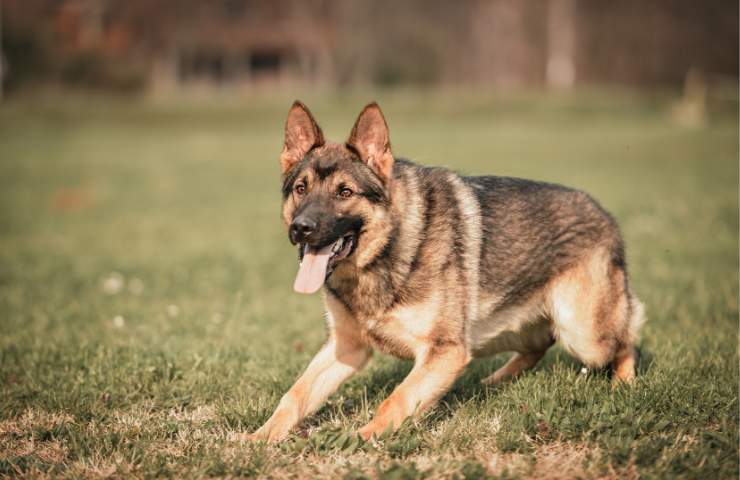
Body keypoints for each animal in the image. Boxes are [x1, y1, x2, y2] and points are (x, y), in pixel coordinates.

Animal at [247, 101, 640, 442]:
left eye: (345, 192)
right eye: (301, 188)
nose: (301, 228)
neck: (388, 248)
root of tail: (605, 215)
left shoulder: (444, 351)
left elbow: (398, 398)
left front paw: (364, 436)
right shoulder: (347, 347)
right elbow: (295, 394)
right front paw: (260, 438)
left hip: (582, 333)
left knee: (627, 339)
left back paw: (625, 385)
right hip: (508, 329)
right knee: (540, 344)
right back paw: (494, 381)